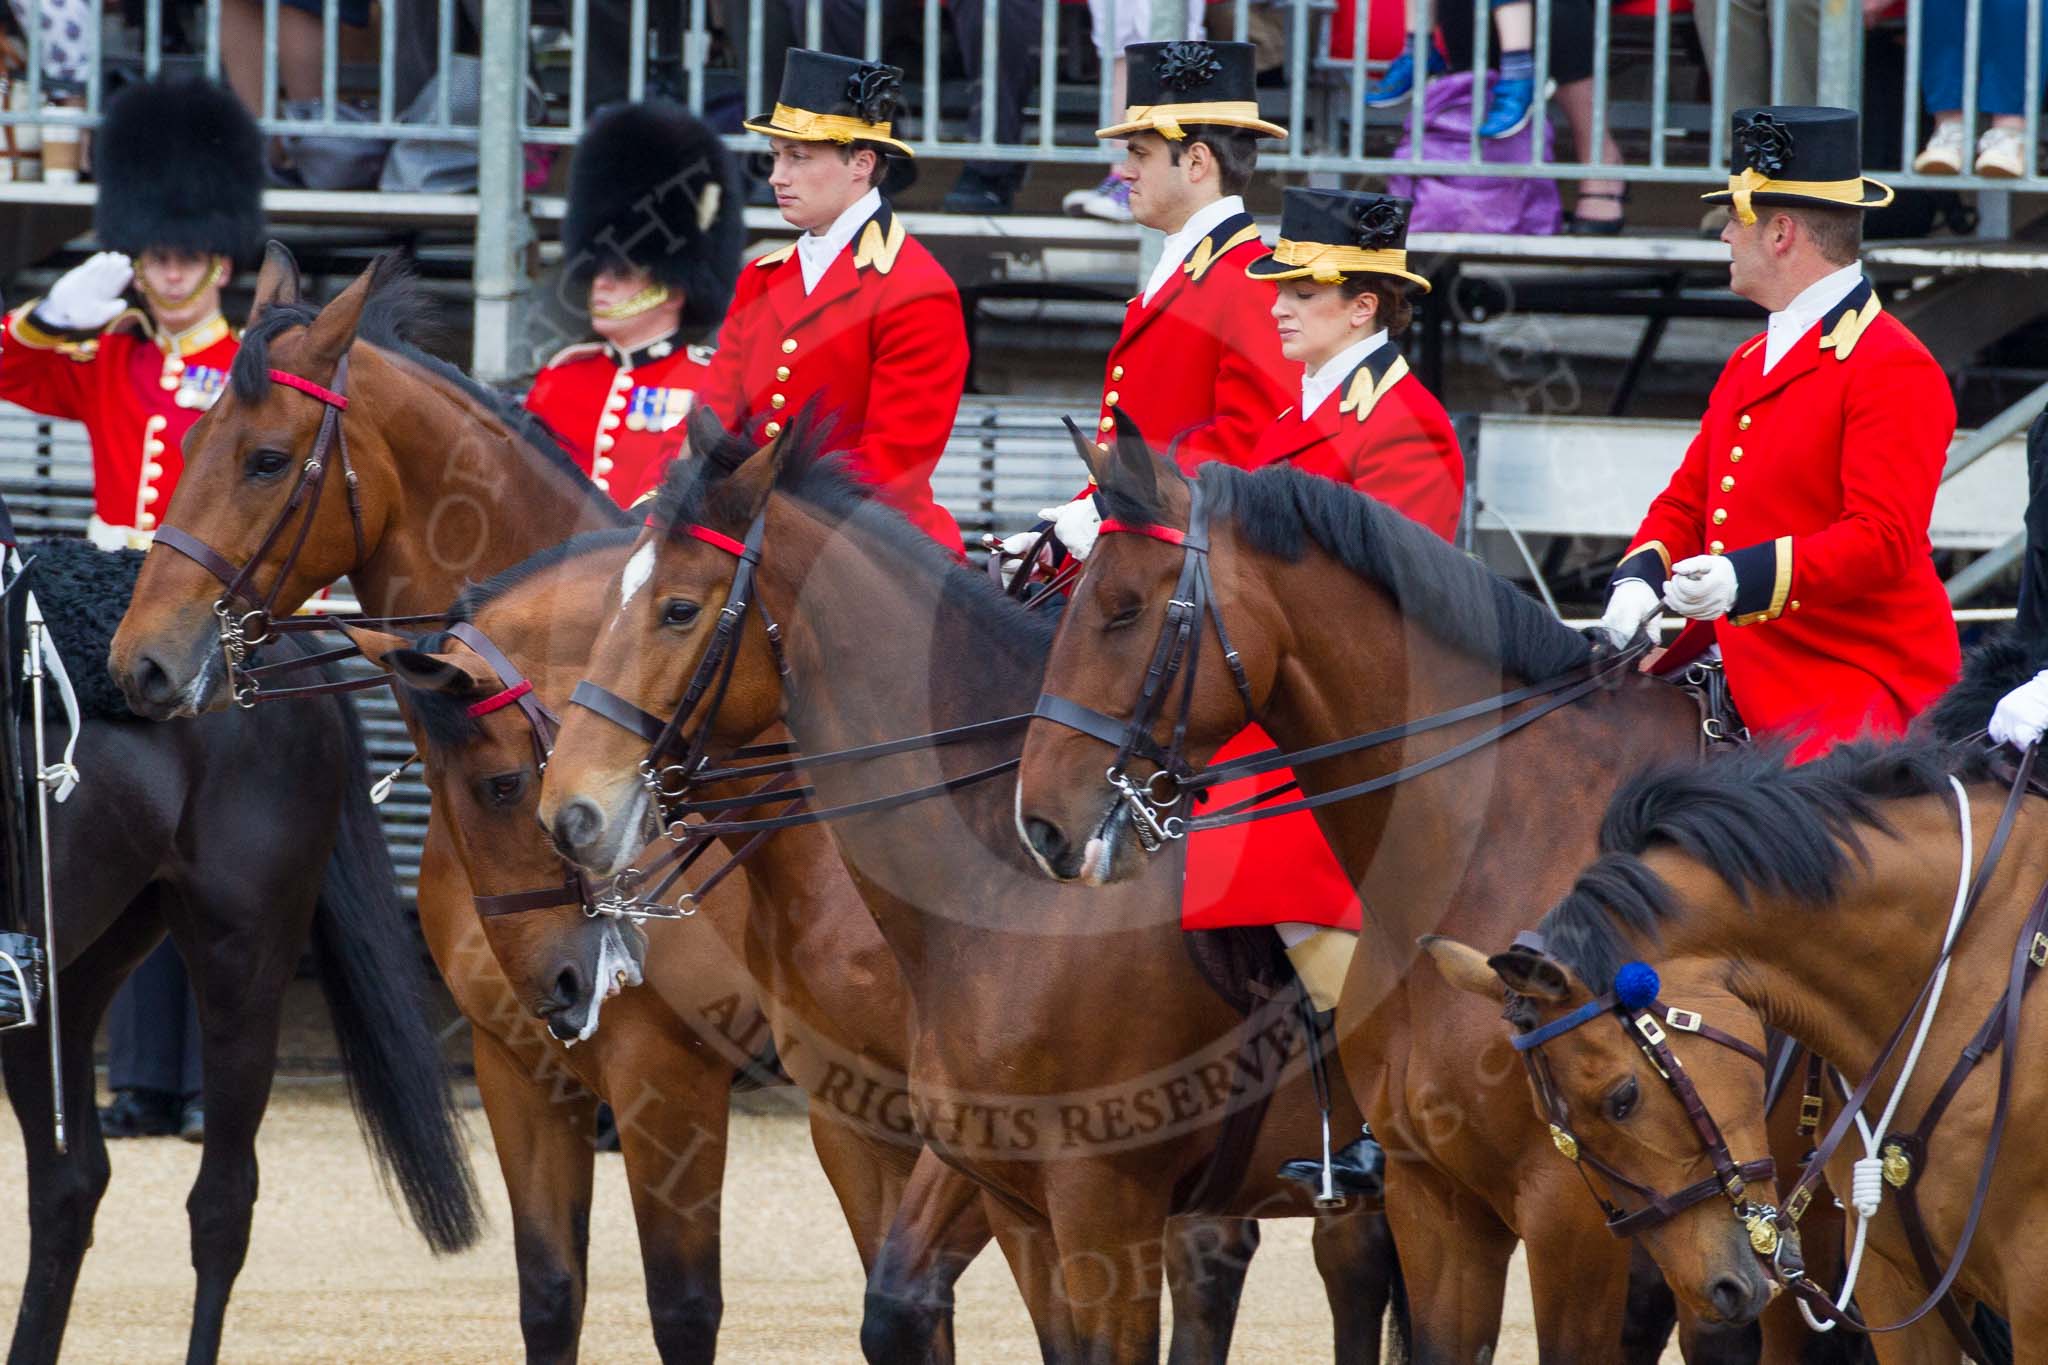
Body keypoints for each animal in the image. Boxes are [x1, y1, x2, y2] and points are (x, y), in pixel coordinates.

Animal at [1425, 736, 2048, 1365]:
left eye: (1623, 1099)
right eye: (1561, 1137)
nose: (1718, 1290)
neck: (1965, 972)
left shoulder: (2031, 1292)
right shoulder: (1894, 1283)